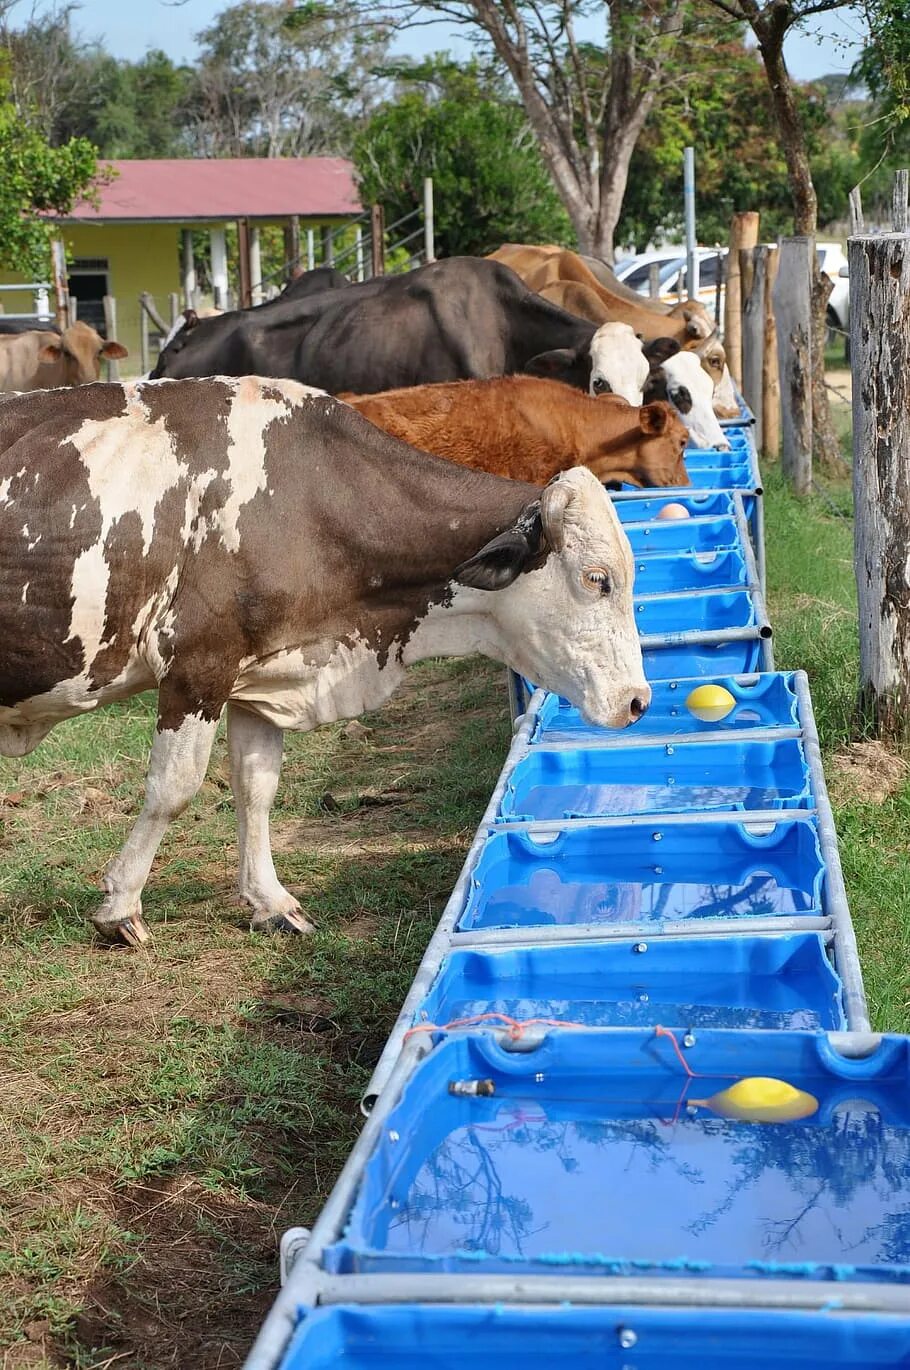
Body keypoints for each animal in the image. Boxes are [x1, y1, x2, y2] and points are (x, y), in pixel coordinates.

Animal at [1, 380, 655, 948]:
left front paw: (270, 902)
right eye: (597, 579)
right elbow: (173, 789)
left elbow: (256, 786)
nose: (638, 701)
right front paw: (120, 907)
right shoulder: (196, 669)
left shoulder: (260, 674)